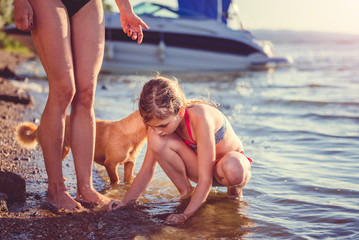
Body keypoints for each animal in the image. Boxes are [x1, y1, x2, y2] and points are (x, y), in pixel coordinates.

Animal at [15, 109, 148, 185]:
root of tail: (40, 126)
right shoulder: (110, 164)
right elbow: (115, 181)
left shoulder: (130, 164)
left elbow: (128, 180)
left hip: (66, 150)